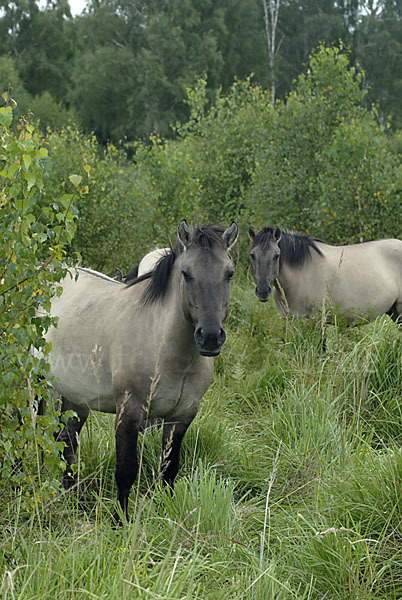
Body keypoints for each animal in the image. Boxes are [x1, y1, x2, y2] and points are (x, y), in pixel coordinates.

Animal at [45, 221, 237, 520]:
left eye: (229, 273)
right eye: (186, 274)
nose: (209, 338)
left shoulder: (181, 417)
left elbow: (169, 471)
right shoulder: (129, 412)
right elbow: (126, 471)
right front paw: (120, 522)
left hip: (75, 398)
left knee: (67, 442)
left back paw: (76, 501)